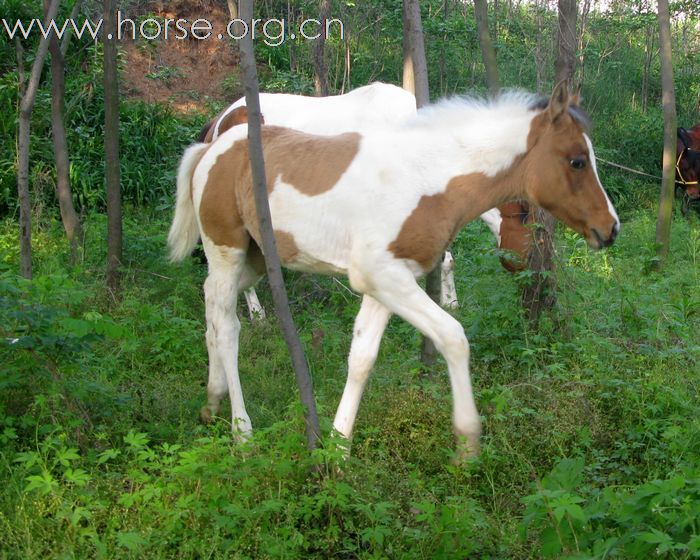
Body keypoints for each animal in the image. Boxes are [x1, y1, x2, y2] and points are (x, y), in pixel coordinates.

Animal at [168, 84, 616, 460]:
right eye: (577, 161)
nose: (610, 229)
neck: (425, 176)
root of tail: (210, 147)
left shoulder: (385, 283)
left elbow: (362, 358)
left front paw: (339, 448)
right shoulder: (382, 275)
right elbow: (453, 337)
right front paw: (467, 443)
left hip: (256, 258)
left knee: (212, 307)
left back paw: (212, 400)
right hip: (226, 251)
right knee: (227, 327)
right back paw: (242, 432)